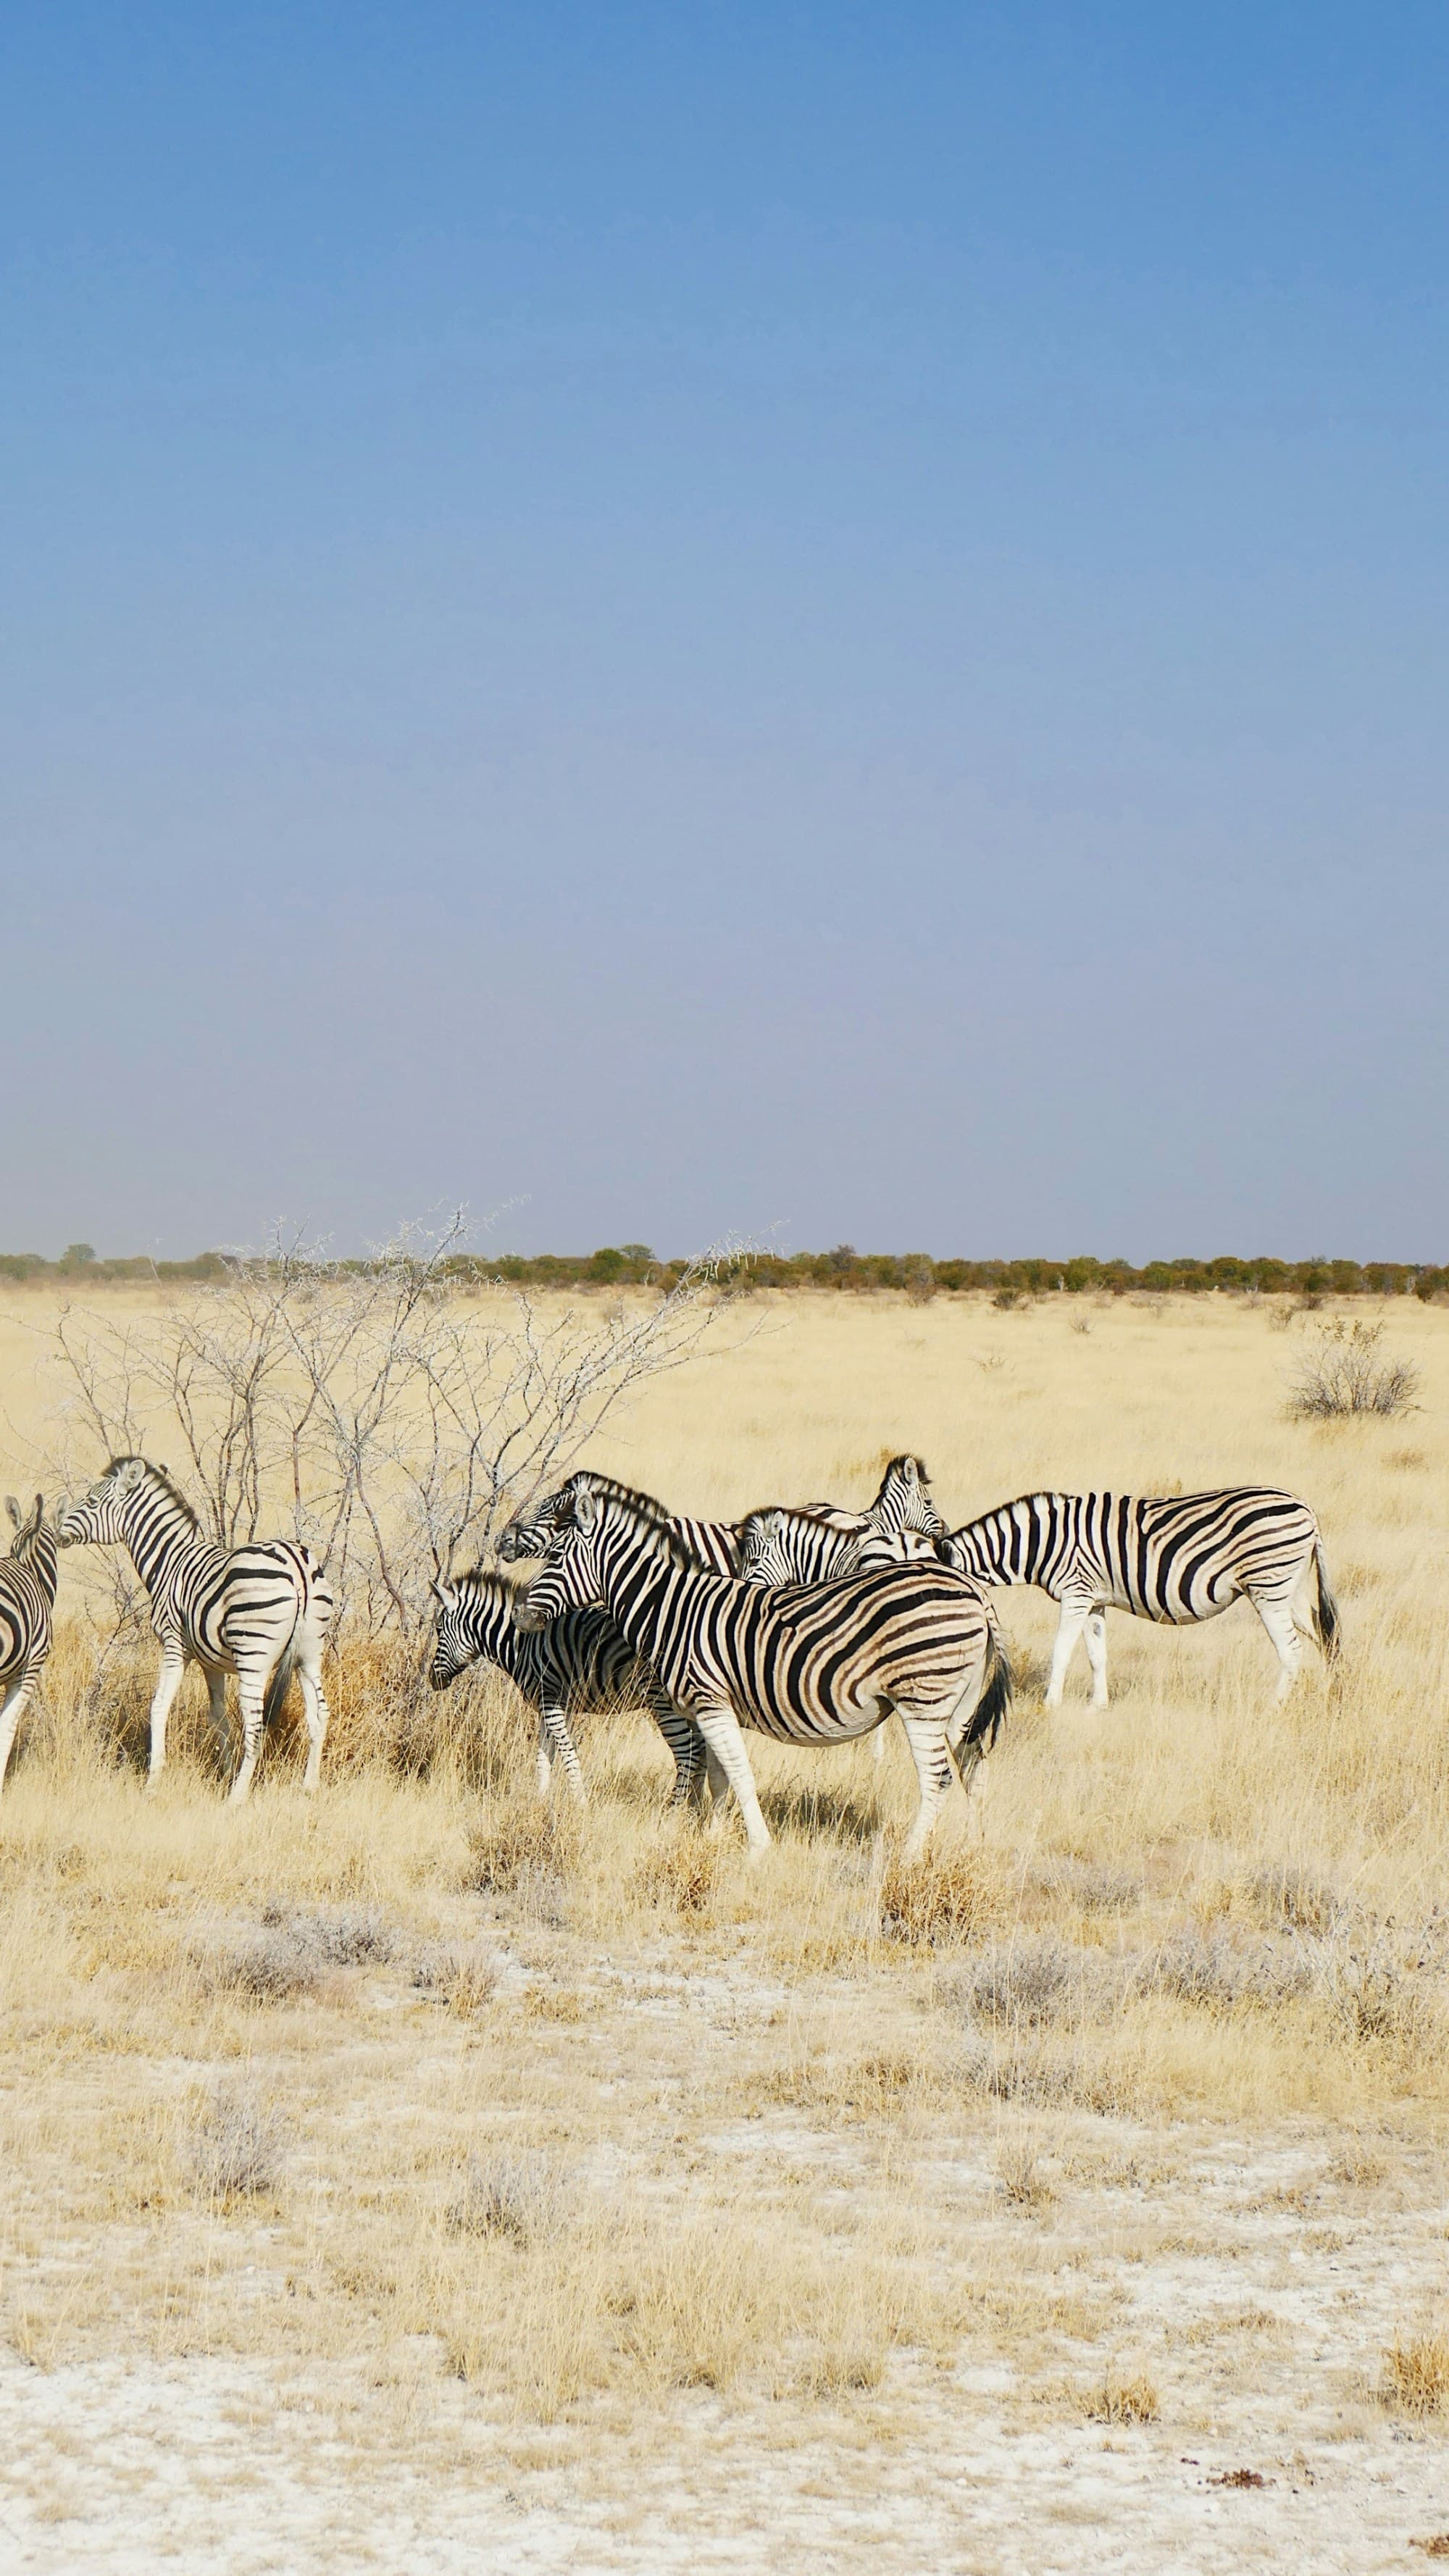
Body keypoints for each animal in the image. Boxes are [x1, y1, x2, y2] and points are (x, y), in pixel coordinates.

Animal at [59, 1463, 333, 1803]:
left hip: (254, 1655)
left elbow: (159, 1706)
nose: (55, 1526)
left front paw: (154, 1781)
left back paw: (237, 1797)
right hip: (309, 1655)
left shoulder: (174, 1646)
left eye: (92, 1502)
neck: (168, 1561)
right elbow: (218, 1715)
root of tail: (297, 1565)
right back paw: (309, 1786)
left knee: (256, 1724)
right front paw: (225, 1771)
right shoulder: (211, 1661)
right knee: (320, 1715)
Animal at [422, 1555, 706, 1803]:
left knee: (688, 1752)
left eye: (438, 1629)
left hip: (662, 1702)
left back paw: (674, 1810)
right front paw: (540, 1801)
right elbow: (543, 1757)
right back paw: (694, 1810)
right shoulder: (553, 1705)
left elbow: (568, 1755)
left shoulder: (551, 1701)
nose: (432, 1679)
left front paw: (580, 1805)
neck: (520, 1645)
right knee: (702, 1751)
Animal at [513, 1484, 1011, 1865]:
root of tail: (971, 1588)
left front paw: (757, 1849)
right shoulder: (714, 1708)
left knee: (937, 1779)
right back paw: (973, 1846)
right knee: (974, 1771)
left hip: (923, 1698)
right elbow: (718, 1778)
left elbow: (739, 1773)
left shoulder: (709, 1701)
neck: (672, 1608)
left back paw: (908, 1857)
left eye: (555, 1556)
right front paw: (712, 1838)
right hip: (959, 1705)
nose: (519, 1615)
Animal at [928, 1494, 1340, 1710]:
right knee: (1324, 1635)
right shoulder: (1094, 1600)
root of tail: (1304, 1506)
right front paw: (1098, 1706)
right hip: (1291, 1589)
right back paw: (1329, 1694)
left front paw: (1050, 1706)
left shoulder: (1076, 1593)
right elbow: (1097, 1654)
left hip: (1268, 1588)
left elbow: (1061, 1650)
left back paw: (1275, 1707)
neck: (1042, 1541)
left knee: (1291, 1649)